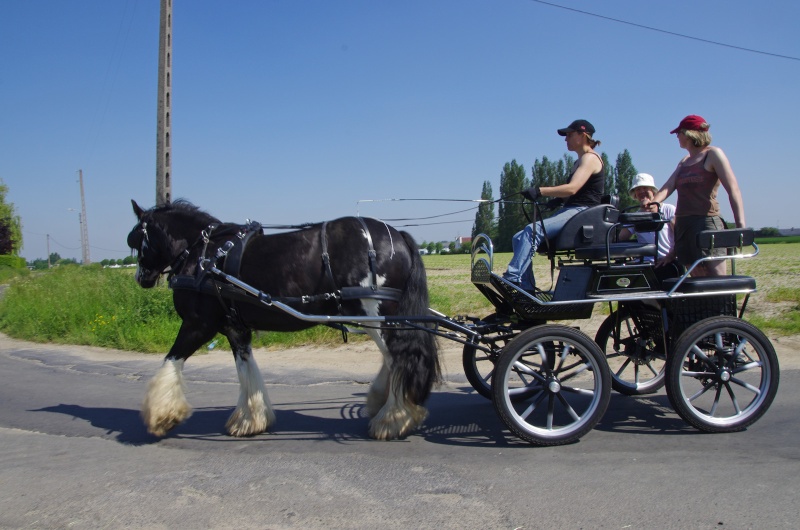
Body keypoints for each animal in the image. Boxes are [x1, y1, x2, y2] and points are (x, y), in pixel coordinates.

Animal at [126, 198, 440, 438]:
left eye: (136, 240)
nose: (141, 278)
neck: (205, 256)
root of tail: (397, 235)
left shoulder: (198, 324)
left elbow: (171, 359)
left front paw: (161, 416)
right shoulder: (235, 328)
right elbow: (246, 370)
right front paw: (250, 419)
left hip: (376, 315)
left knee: (400, 359)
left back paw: (393, 419)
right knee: (396, 360)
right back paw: (382, 404)